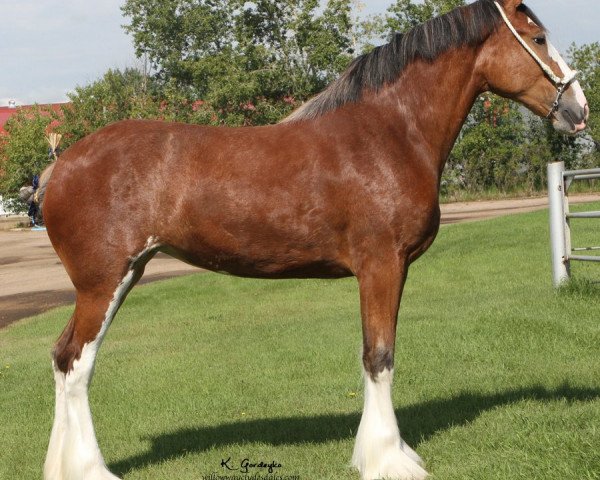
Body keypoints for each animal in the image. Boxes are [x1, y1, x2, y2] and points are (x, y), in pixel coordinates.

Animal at [39, 1, 588, 478]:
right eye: (539, 38)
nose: (578, 109)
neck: (391, 131)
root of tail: (59, 168)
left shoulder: (392, 268)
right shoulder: (381, 265)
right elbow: (379, 357)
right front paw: (388, 460)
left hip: (124, 275)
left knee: (65, 357)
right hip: (102, 282)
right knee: (77, 363)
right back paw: (90, 470)